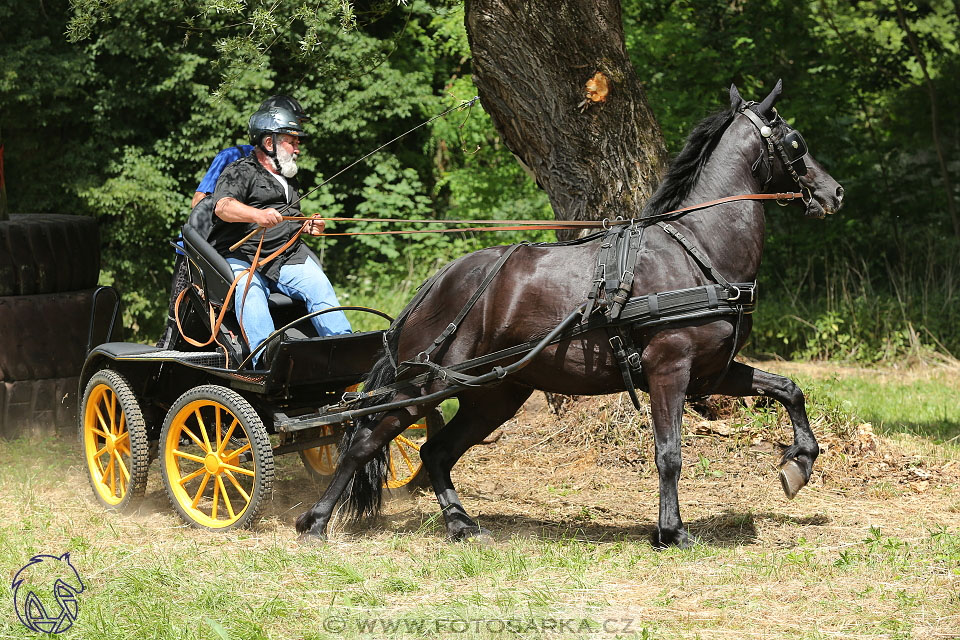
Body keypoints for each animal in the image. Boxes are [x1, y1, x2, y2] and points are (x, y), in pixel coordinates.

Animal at [296, 80, 844, 548]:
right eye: (796, 141)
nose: (834, 192)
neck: (698, 250)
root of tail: (441, 280)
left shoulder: (712, 371)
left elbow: (788, 389)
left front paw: (800, 463)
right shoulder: (670, 368)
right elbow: (669, 454)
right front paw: (672, 531)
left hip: (494, 395)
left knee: (435, 451)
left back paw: (461, 524)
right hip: (421, 386)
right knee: (364, 439)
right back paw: (316, 521)